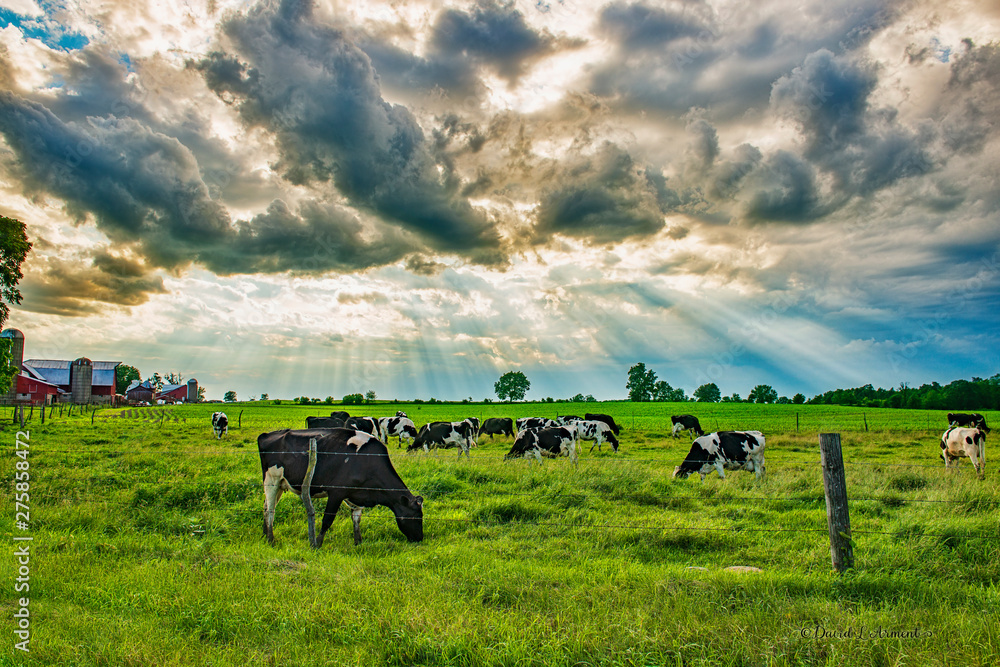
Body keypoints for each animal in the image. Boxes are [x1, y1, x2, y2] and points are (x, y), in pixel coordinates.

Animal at [258, 428, 422, 548]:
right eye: (415, 516)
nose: (419, 539)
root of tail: (268, 434)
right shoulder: (336, 492)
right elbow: (327, 520)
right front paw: (317, 544)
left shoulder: (357, 494)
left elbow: (356, 519)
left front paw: (358, 542)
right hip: (271, 480)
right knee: (270, 509)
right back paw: (271, 539)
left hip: (281, 484)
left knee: (266, 506)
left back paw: (264, 534)